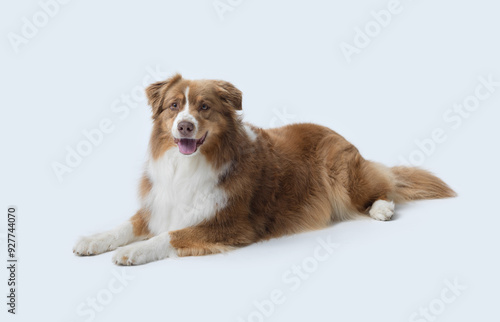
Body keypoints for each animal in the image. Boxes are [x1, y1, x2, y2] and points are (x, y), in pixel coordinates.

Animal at [71, 74, 458, 266]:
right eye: (174, 106)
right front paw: (93, 240)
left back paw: (381, 209)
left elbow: (170, 236)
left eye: (204, 107)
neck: (189, 164)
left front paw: (132, 252)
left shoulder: (231, 223)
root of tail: (334, 131)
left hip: (341, 172)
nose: (184, 126)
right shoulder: (160, 203)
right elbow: (125, 226)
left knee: (384, 186)